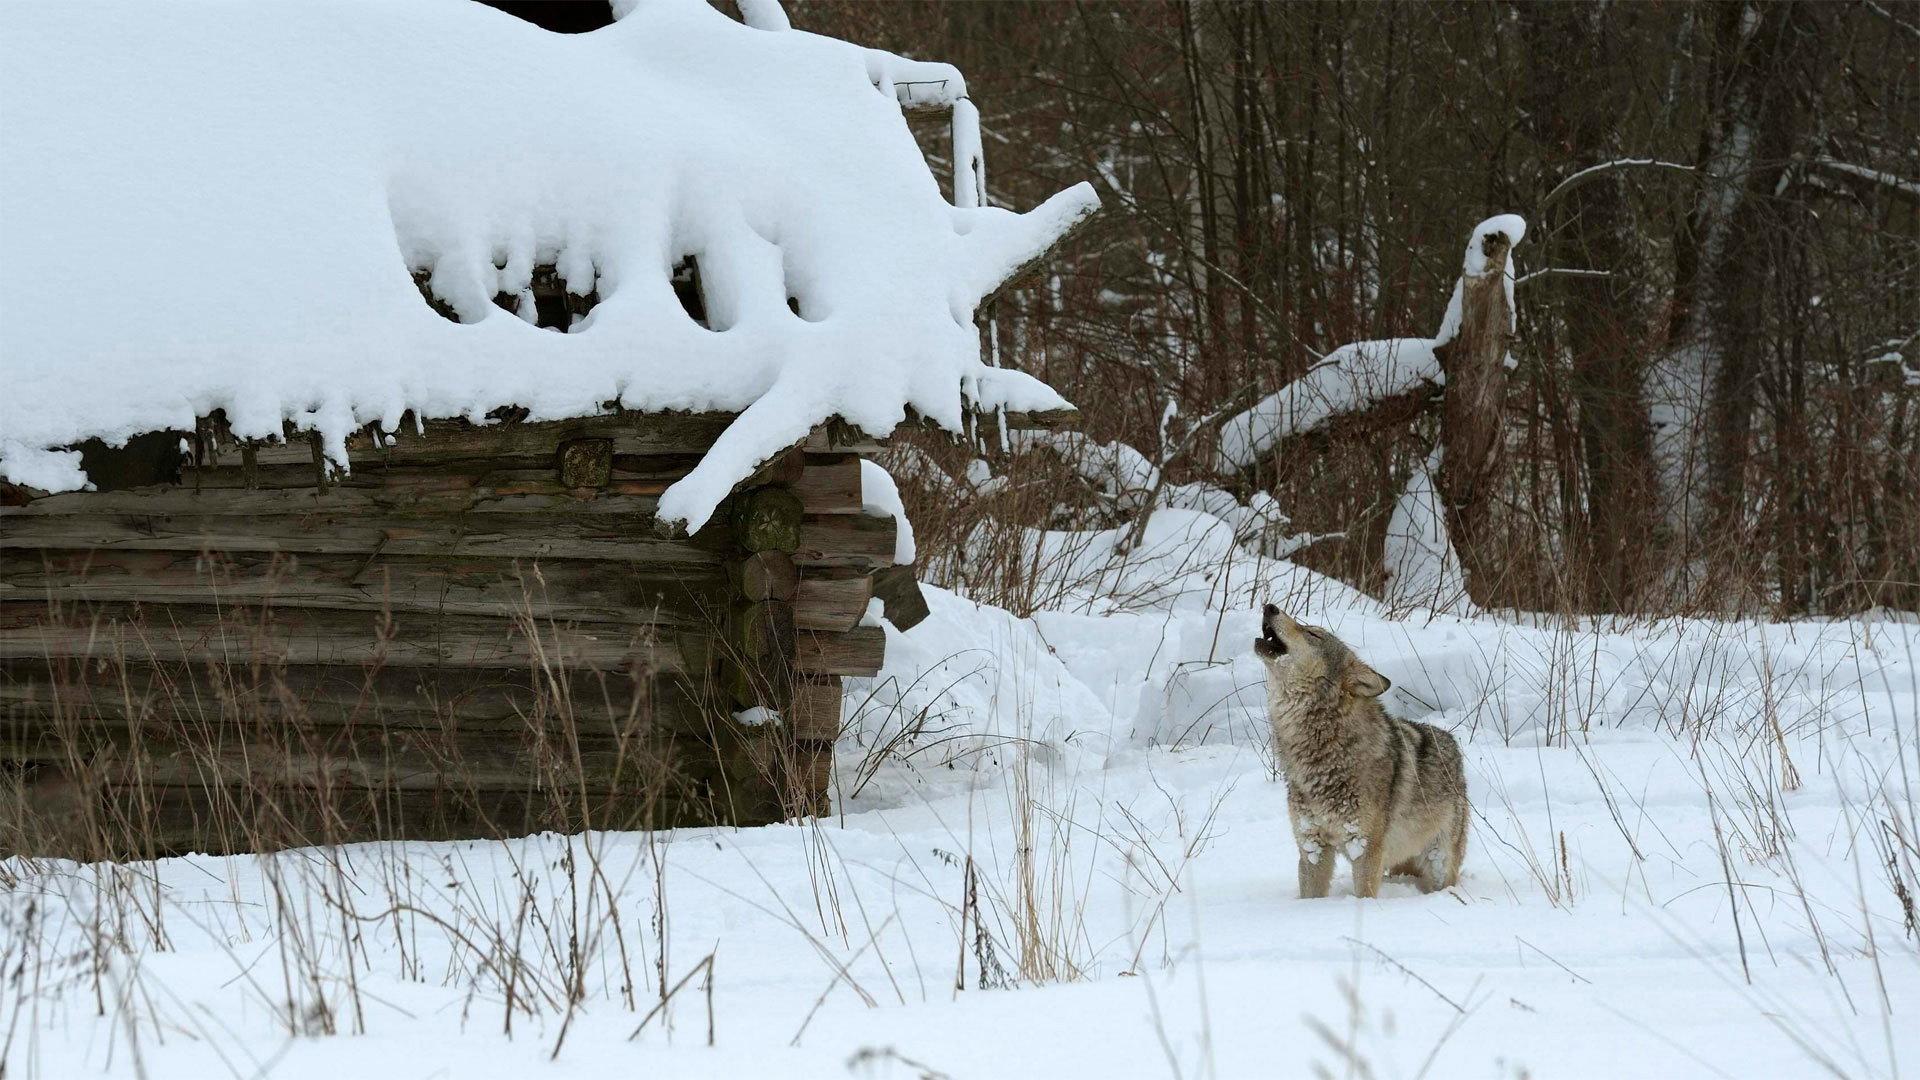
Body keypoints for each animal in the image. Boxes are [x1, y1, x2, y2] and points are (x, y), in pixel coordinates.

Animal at [1253, 604, 1468, 898]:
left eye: (1312, 634)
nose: (1269, 606)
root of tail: (1452, 742)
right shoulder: (1312, 846)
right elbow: (1310, 895)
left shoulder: (1365, 848)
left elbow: (1364, 895)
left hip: (1439, 859)